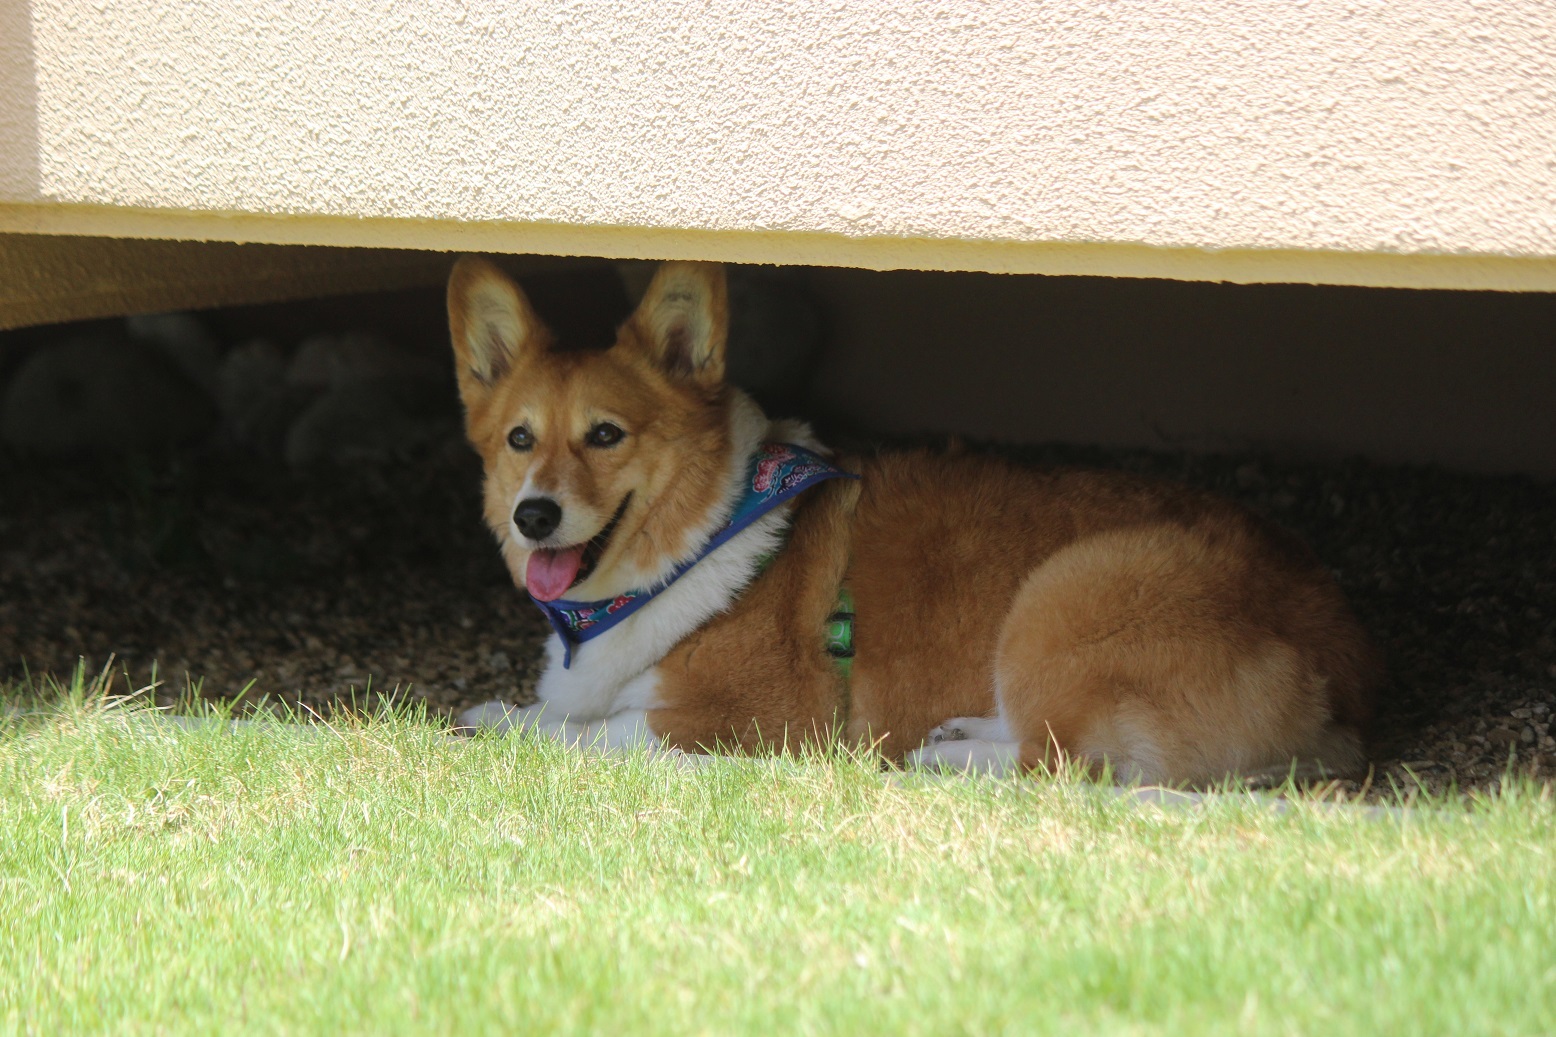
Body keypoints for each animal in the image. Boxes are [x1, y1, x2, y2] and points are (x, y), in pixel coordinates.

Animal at [445, 253, 1381, 778]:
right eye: (521, 438)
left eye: (605, 434)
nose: (533, 516)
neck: (701, 535)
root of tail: (1345, 658)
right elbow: (549, 717)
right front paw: (499, 715)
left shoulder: (752, 720)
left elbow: (584, 733)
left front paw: (506, 729)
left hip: (1061, 594)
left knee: (1060, 762)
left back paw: (947, 756)